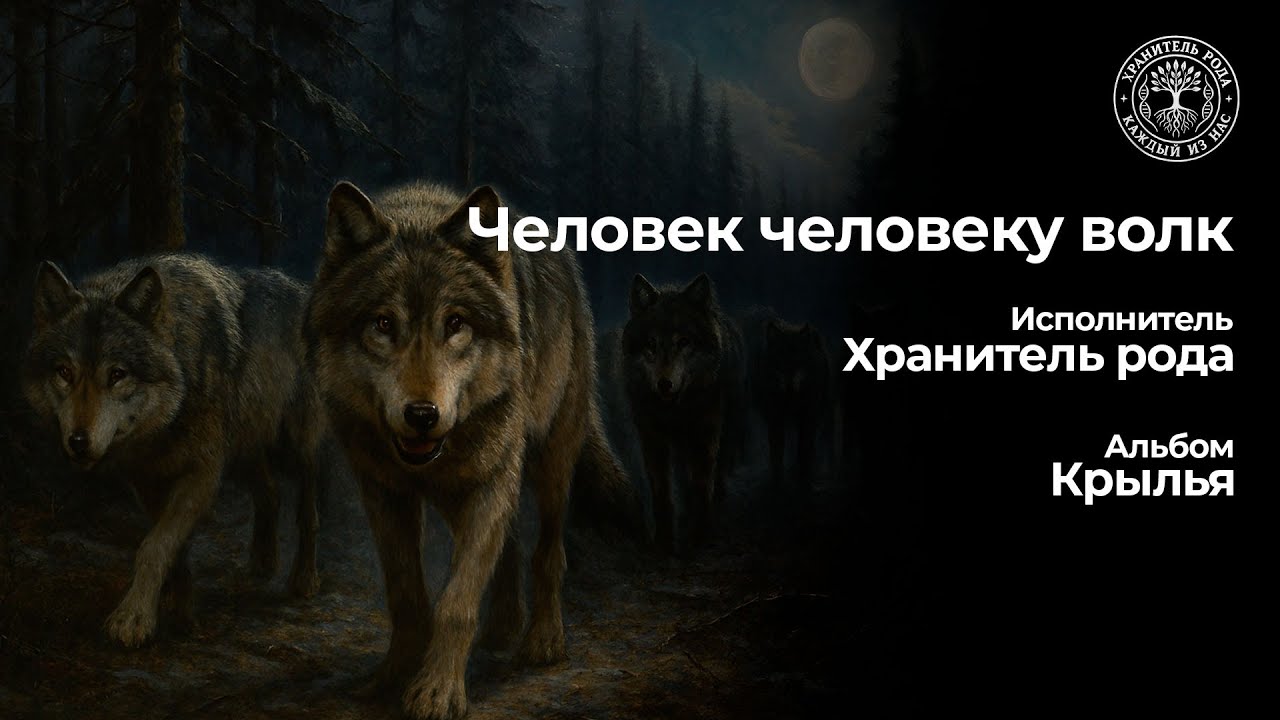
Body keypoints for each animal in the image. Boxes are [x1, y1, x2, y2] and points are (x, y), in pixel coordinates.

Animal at [22, 254, 324, 647]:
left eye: (117, 375)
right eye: (64, 372)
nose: (78, 442)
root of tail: (302, 290)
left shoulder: (202, 475)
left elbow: (154, 546)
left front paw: (132, 620)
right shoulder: (148, 481)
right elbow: (171, 547)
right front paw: (180, 609)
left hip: (296, 446)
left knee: (308, 511)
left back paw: (304, 579)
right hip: (244, 447)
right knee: (270, 494)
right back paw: (263, 563)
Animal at [305, 181, 634, 720]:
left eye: (455, 322)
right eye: (382, 324)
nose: (422, 414)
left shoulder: (489, 483)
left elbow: (456, 603)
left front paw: (437, 691)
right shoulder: (385, 493)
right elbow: (406, 593)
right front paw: (393, 676)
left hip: (549, 462)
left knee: (548, 550)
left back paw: (543, 639)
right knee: (510, 545)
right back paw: (502, 628)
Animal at [614, 274, 746, 555]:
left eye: (683, 342)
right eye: (651, 344)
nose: (664, 384)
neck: (675, 411)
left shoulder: (705, 435)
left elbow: (702, 486)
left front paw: (699, 538)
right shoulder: (652, 439)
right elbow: (662, 493)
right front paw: (664, 542)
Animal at [743, 308, 837, 489]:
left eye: (797, 358)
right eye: (780, 358)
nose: (788, 380)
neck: (791, 396)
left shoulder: (809, 416)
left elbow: (805, 448)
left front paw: (804, 481)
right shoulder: (775, 417)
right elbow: (777, 450)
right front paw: (778, 482)